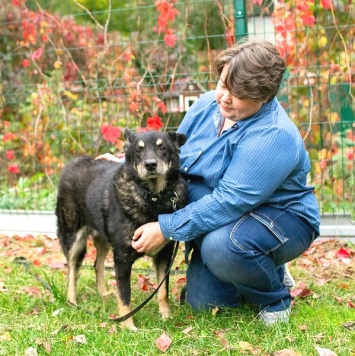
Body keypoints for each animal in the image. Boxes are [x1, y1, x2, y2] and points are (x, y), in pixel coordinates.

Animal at [55, 127, 188, 328]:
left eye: (162, 147)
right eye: (138, 150)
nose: (150, 165)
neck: (152, 198)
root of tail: (74, 162)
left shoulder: (164, 255)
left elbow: (162, 291)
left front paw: (166, 317)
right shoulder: (123, 256)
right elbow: (125, 294)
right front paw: (128, 325)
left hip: (103, 239)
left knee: (97, 264)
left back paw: (103, 294)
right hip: (73, 237)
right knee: (71, 268)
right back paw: (72, 301)